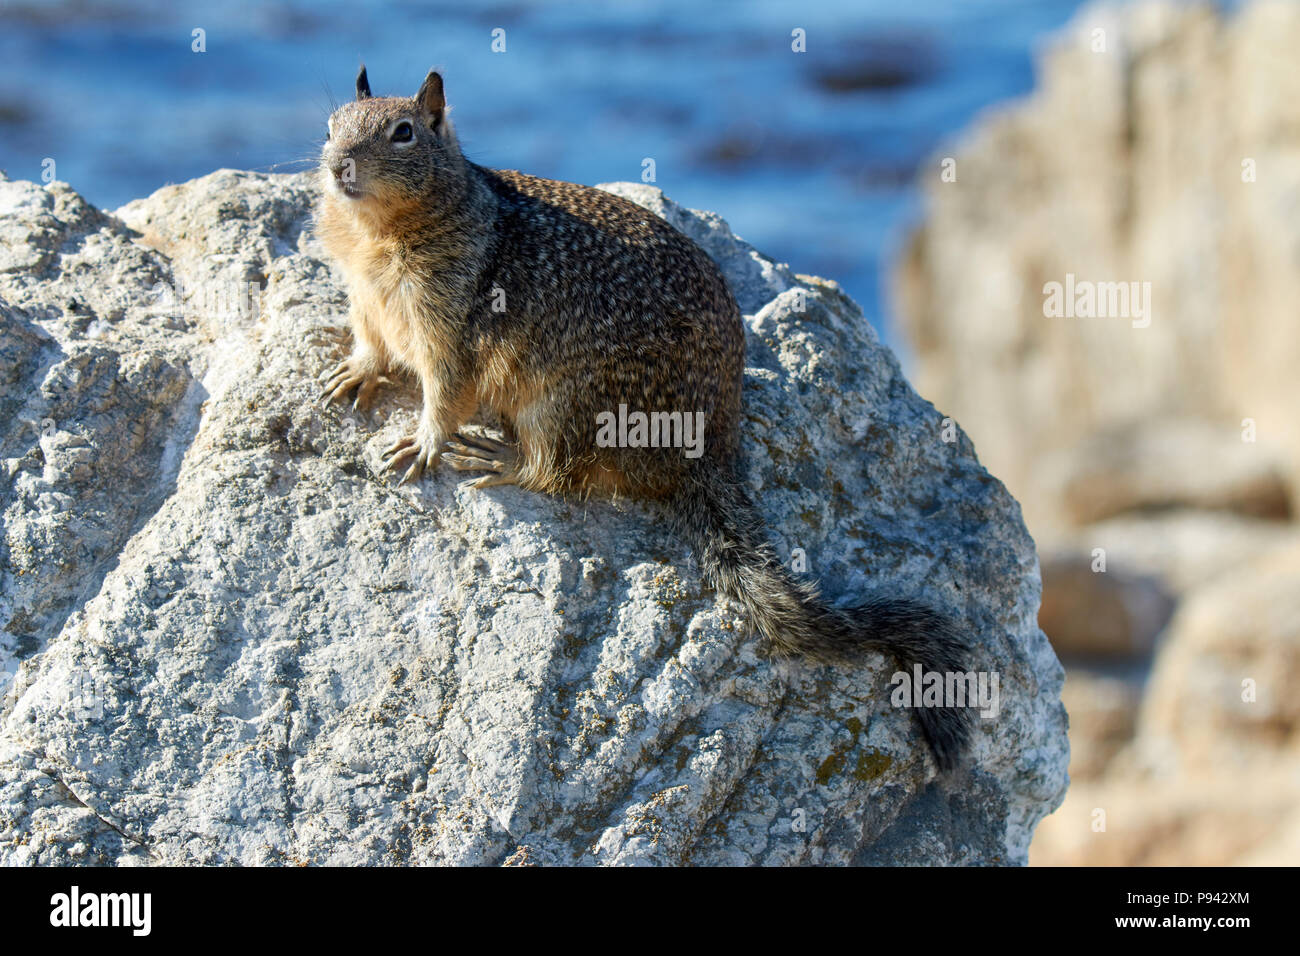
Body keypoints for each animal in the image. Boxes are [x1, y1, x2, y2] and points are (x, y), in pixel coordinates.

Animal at [316, 66, 974, 769]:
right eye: (330, 125)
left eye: (403, 132)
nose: (338, 165)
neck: (378, 234)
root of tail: (707, 451)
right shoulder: (365, 298)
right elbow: (370, 341)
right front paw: (353, 371)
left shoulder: (450, 326)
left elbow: (445, 394)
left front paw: (422, 443)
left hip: (566, 404)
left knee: (556, 471)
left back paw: (501, 456)